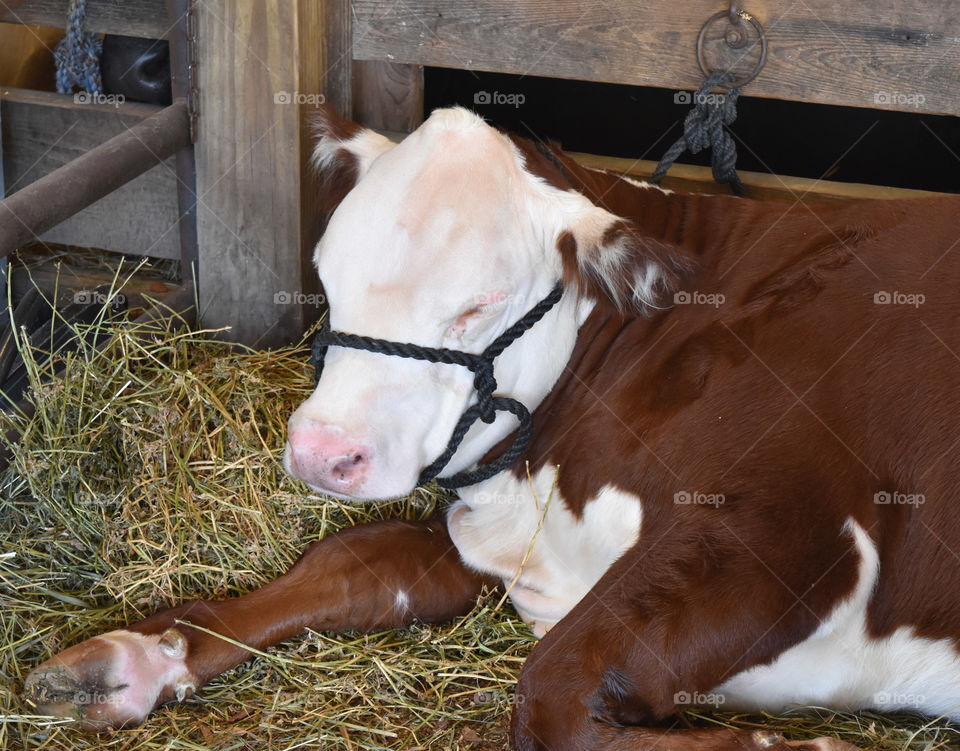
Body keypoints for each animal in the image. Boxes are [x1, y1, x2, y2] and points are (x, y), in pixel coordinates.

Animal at [20, 107, 960, 751]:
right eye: (324, 272)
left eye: (480, 303)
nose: (323, 452)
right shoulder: (508, 537)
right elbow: (352, 567)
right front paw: (132, 658)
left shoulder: (786, 531)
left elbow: (549, 691)